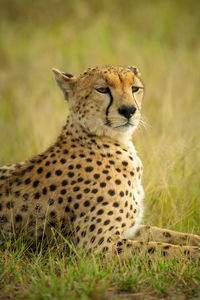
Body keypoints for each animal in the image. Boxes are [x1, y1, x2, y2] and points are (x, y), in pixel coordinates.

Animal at [0, 67, 200, 258]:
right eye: (102, 89)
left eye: (135, 88)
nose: (129, 110)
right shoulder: (96, 246)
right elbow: (167, 249)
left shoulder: (131, 229)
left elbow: (171, 236)